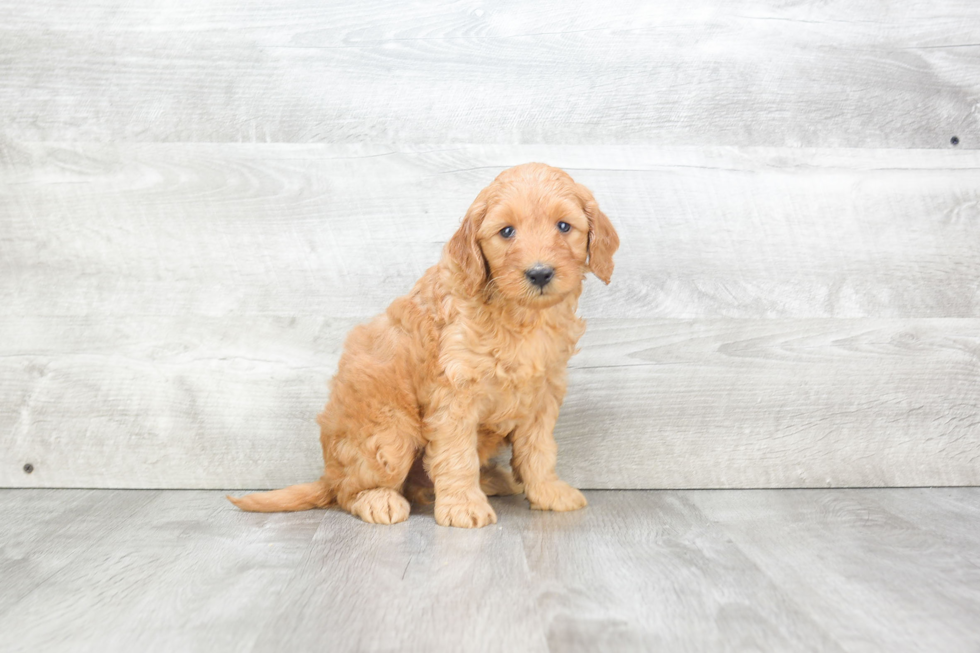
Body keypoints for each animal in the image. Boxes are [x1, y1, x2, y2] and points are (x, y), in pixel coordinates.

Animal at [226, 166, 616, 528]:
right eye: (507, 231)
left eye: (564, 226)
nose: (539, 273)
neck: (520, 316)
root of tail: (329, 472)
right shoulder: (455, 394)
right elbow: (457, 456)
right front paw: (463, 506)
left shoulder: (543, 392)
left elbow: (539, 450)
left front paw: (548, 491)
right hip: (390, 437)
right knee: (349, 490)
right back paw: (378, 499)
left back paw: (490, 479)